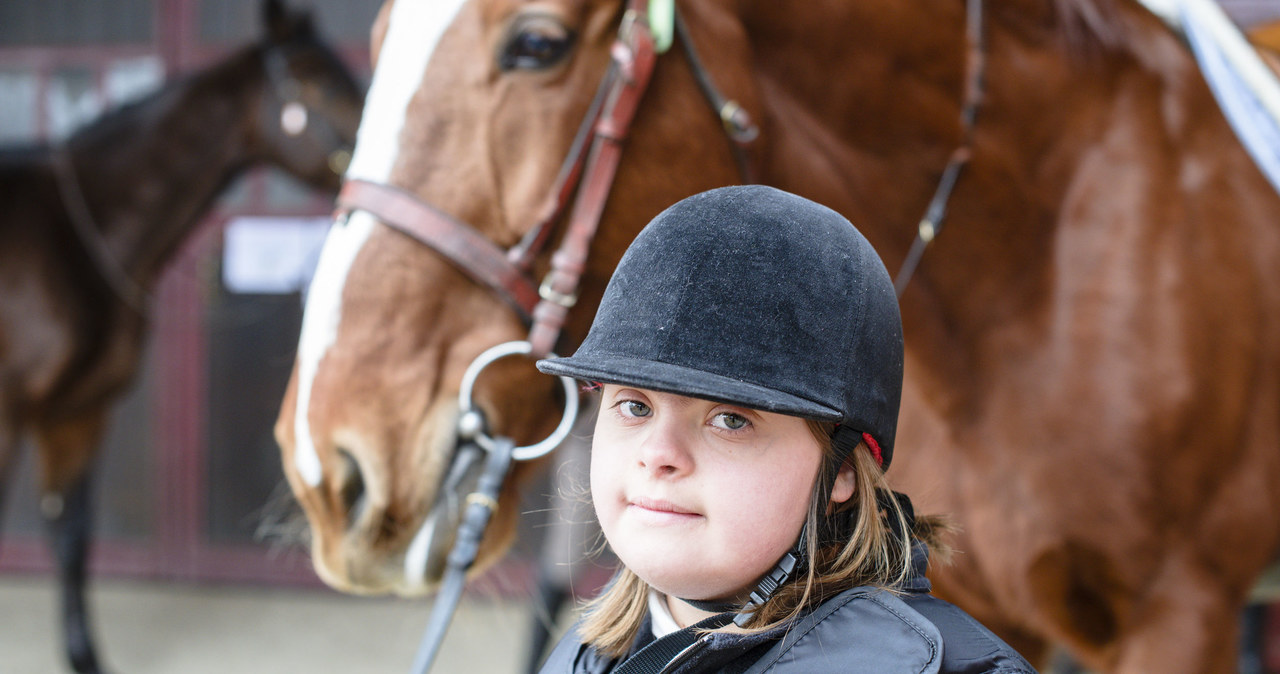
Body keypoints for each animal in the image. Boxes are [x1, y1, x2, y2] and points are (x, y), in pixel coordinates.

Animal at [0, 2, 366, 670]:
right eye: (317, 82)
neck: (71, 240)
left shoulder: (78, 412)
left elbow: (71, 536)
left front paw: (85, 656)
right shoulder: (7, 415)